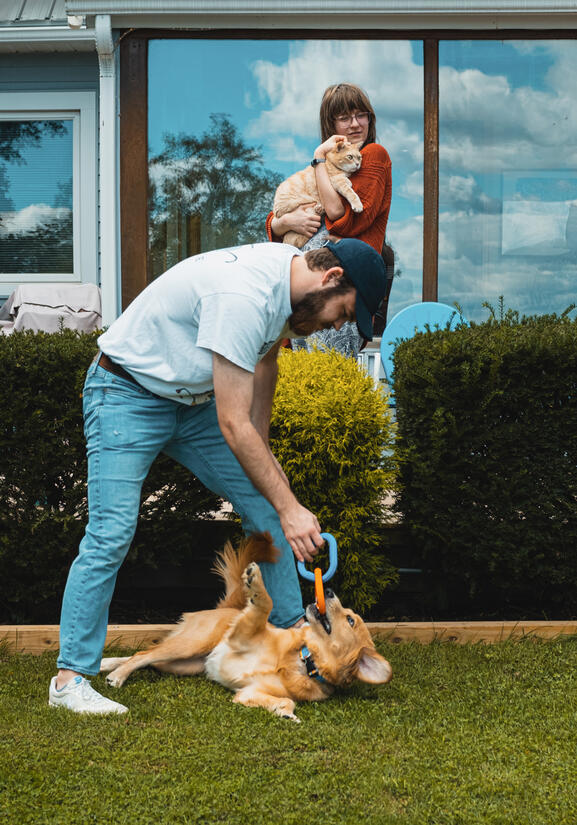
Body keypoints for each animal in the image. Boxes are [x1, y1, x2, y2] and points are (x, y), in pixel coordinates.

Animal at [102, 532, 392, 716]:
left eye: (350, 620)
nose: (329, 590)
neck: (302, 659)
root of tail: (227, 607)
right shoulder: (241, 636)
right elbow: (265, 606)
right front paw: (258, 586)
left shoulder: (248, 692)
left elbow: (286, 701)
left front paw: (284, 712)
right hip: (191, 644)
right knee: (143, 654)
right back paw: (117, 675)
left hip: (182, 664)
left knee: (145, 656)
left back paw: (108, 665)